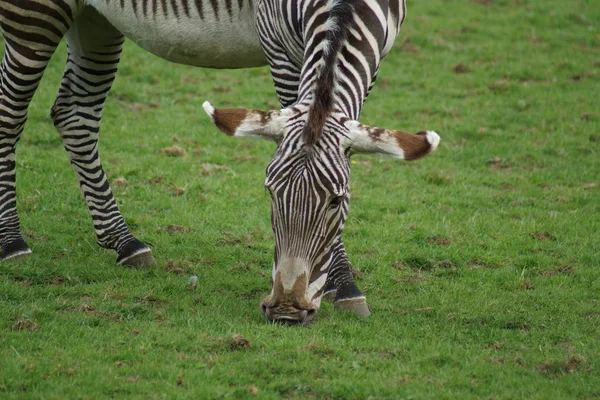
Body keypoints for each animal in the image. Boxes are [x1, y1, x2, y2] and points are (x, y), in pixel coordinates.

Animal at [1, 0, 440, 324]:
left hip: (96, 16)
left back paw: (124, 241)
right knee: (10, 112)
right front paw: (344, 282)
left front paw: (342, 282)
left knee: (75, 112)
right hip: (33, 11)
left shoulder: (374, 56)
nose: (284, 312)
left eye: (337, 200)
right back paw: (11, 242)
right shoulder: (278, 45)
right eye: (269, 193)